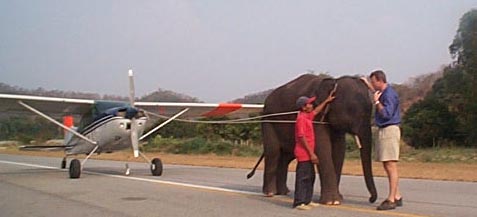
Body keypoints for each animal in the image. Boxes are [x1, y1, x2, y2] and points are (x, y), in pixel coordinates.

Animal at [247, 73, 378, 204]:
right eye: (352, 110)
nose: (371, 199)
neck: (333, 81)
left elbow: (339, 150)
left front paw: (339, 199)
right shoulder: (317, 119)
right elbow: (323, 149)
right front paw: (332, 202)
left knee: (286, 156)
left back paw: (283, 192)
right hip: (268, 121)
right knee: (273, 152)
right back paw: (270, 193)